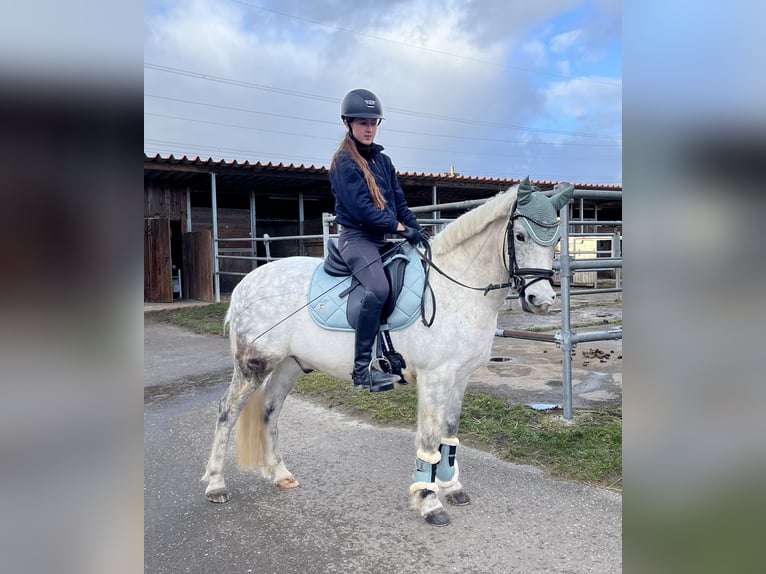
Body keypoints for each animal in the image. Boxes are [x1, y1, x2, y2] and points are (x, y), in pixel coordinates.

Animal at [202, 178, 574, 526]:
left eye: (556, 239)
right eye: (521, 236)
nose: (541, 300)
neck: (453, 289)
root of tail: (247, 282)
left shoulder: (460, 377)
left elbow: (449, 433)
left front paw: (452, 488)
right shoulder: (435, 377)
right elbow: (429, 439)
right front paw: (428, 501)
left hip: (288, 366)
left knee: (270, 411)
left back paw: (280, 474)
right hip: (254, 365)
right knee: (226, 413)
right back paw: (216, 484)